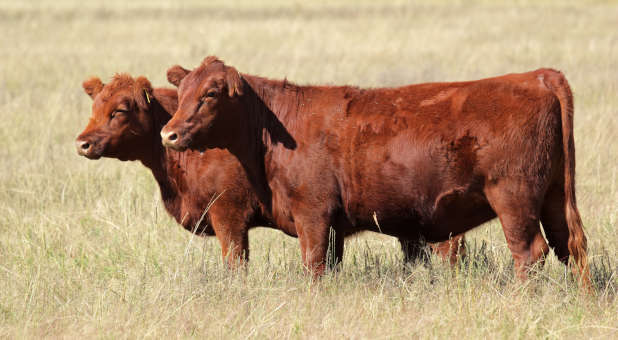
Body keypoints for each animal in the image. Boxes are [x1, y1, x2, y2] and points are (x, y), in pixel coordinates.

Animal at [159, 55, 588, 284]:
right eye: (182, 92)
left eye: (211, 94)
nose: (169, 134)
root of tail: (537, 76)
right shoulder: (332, 226)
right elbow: (329, 267)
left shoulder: (312, 214)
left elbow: (314, 266)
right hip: (554, 196)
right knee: (571, 247)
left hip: (513, 198)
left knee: (530, 252)